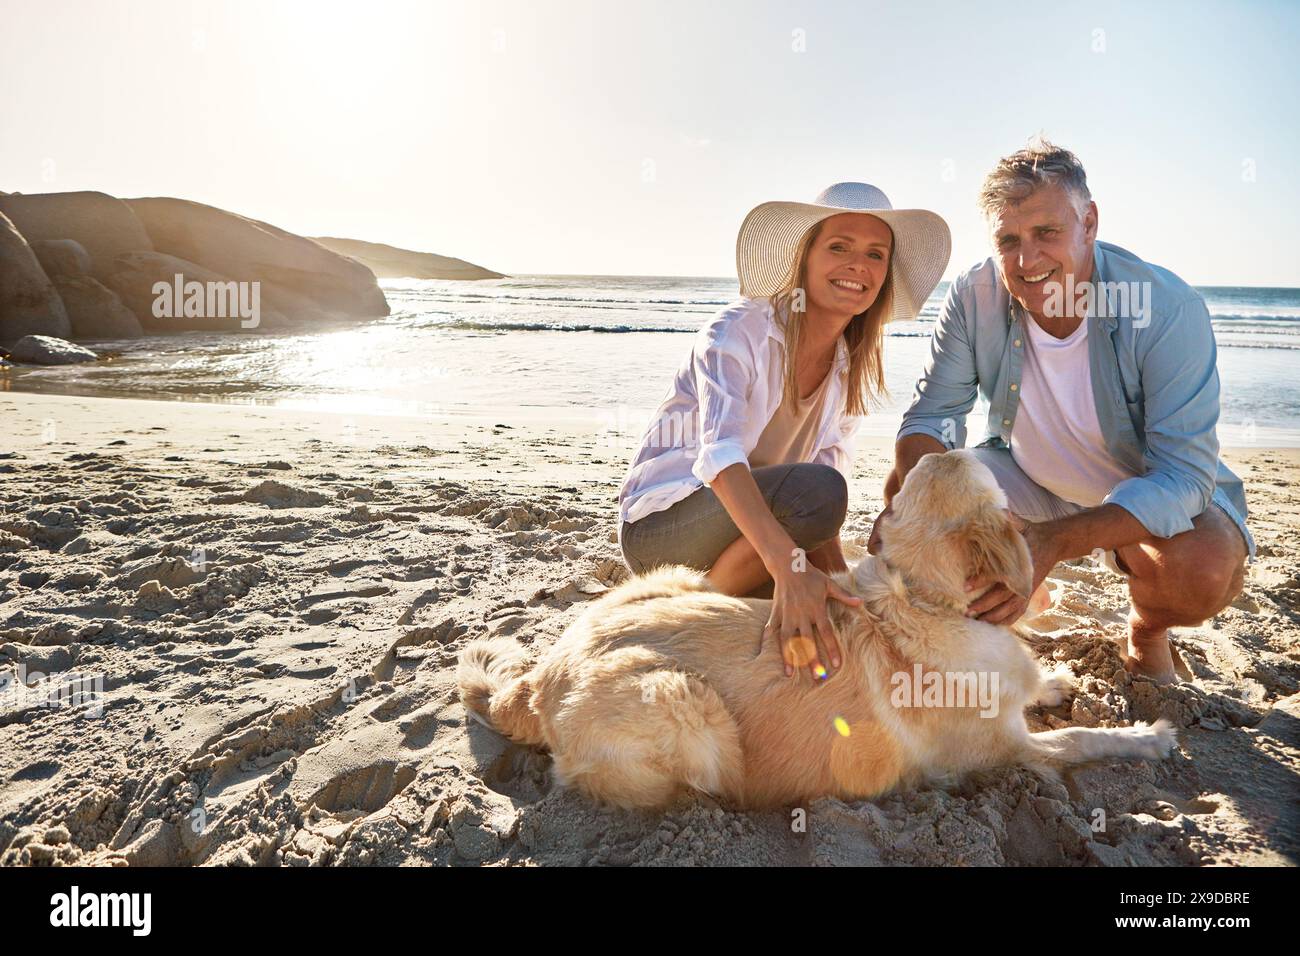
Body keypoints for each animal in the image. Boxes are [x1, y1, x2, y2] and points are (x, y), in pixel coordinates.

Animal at [460, 452, 1180, 811]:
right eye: (984, 473)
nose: (948, 440)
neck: (929, 602)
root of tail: (539, 677)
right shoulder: (1008, 754)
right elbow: (1082, 740)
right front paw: (1148, 736)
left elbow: (1040, 689)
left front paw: (1057, 679)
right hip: (685, 703)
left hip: (681, 582)